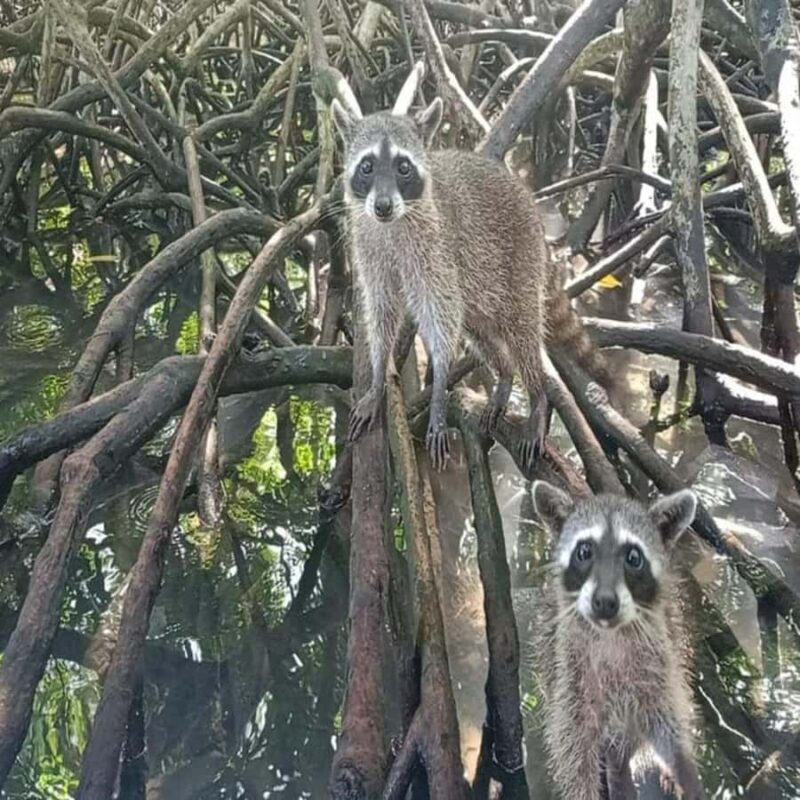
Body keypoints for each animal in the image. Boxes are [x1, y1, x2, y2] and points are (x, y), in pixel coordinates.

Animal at [330, 62, 608, 470]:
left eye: (402, 167)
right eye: (366, 167)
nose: (382, 206)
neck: (393, 223)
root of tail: (527, 200)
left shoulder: (436, 252)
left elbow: (440, 323)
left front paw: (438, 394)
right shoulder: (370, 249)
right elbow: (382, 312)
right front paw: (380, 377)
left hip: (518, 263)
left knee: (521, 332)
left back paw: (538, 396)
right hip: (480, 288)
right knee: (481, 332)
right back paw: (505, 374)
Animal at [531, 482, 704, 800]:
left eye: (633, 558)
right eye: (584, 551)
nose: (605, 601)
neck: (609, 635)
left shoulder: (657, 665)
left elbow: (668, 723)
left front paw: (681, 767)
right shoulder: (570, 681)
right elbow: (573, 753)